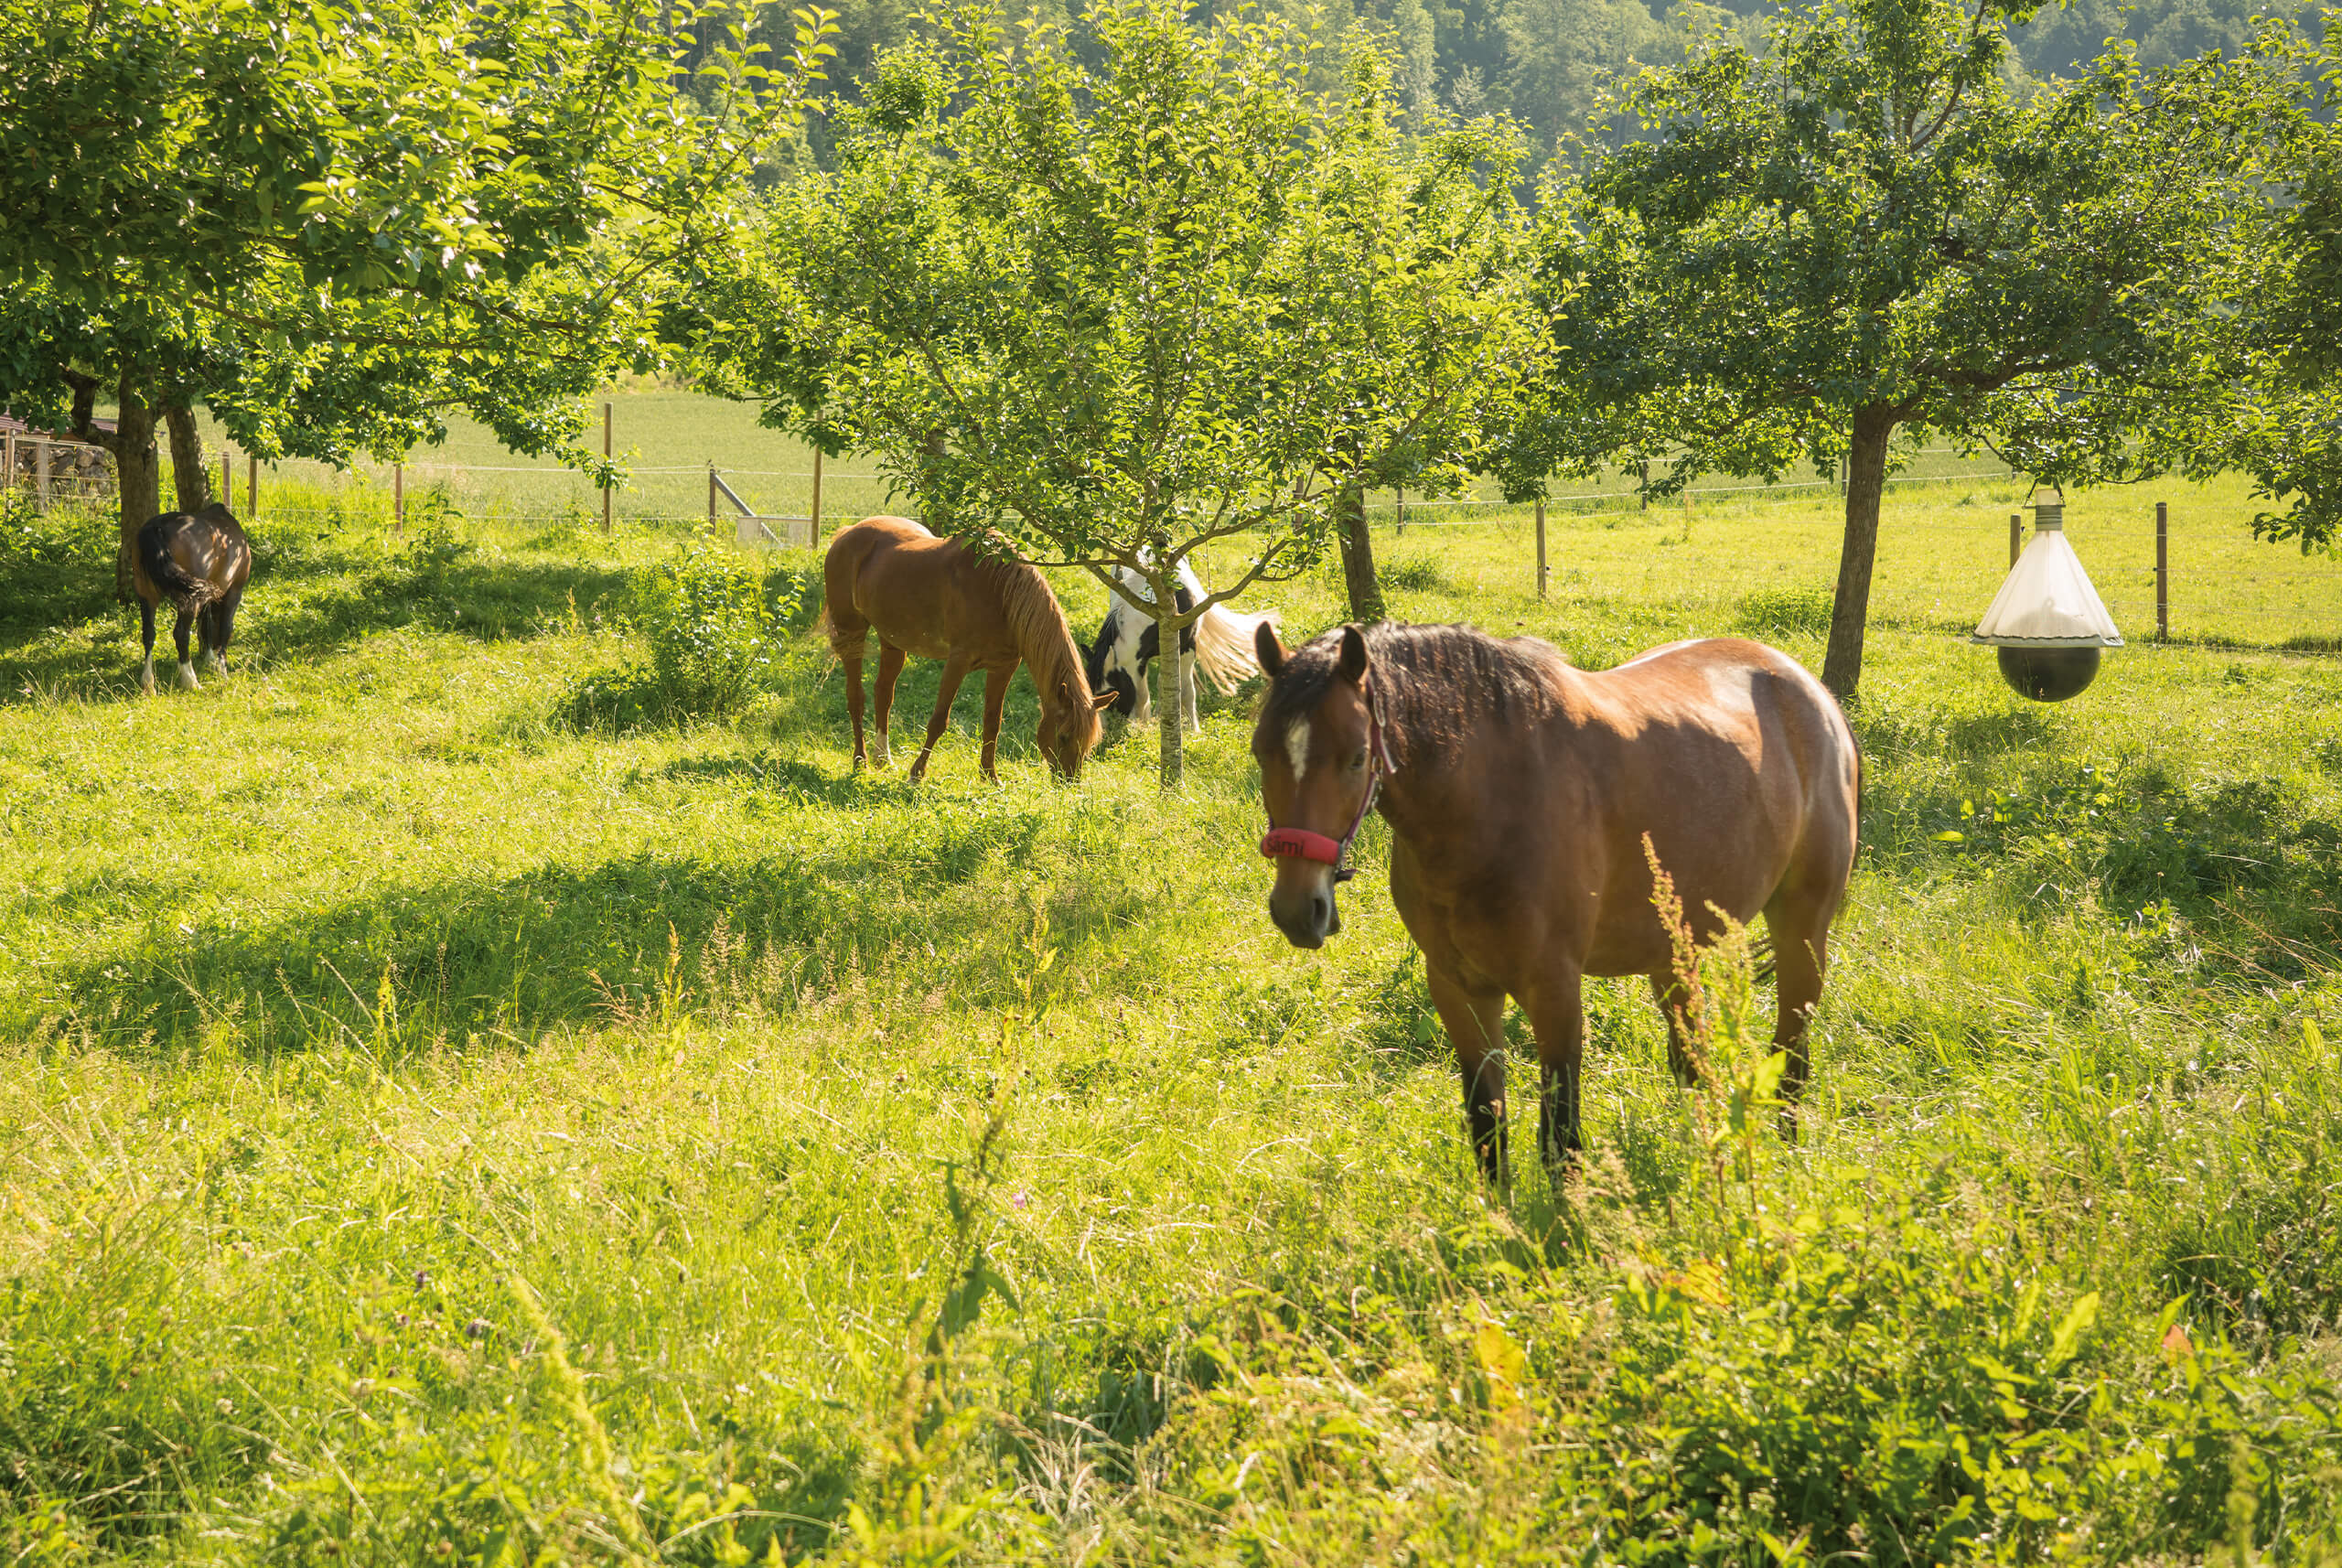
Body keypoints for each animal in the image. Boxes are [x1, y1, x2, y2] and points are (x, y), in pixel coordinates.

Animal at [134, 508, 252, 697]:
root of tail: (156, 527)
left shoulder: (207, 596)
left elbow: (206, 626)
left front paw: (210, 659)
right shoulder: (234, 591)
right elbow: (225, 628)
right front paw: (221, 669)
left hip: (147, 597)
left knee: (149, 634)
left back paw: (148, 683)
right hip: (190, 601)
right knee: (181, 634)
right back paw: (191, 681)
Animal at [824, 519, 1114, 781]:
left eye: (1090, 742)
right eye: (1063, 736)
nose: (1069, 780)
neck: (1000, 592)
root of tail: (846, 532)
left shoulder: (1003, 667)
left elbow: (992, 722)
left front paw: (990, 776)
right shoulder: (958, 662)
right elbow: (939, 720)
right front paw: (917, 774)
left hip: (893, 641)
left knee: (884, 694)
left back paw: (883, 759)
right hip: (852, 634)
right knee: (856, 697)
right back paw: (860, 760)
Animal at [1081, 556, 1283, 735]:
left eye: (1111, 694)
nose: (1099, 734)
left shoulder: (1186, 649)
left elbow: (1185, 690)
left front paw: (1193, 729)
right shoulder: (1140, 661)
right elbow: (1144, 694)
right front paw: (1144, 723)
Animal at [1255, 622, 1854, 1184]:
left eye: (1358, 758)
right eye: (1261, 751)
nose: (1297, 909)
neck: (1490, 805)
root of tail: (1811, 692)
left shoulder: (1555, 991)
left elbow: (1561, 1140)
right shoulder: (1457, 989)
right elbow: (1487, 1128)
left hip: (1801, 932)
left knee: (1792, 1053)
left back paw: (1786, 1159)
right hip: (1672, 953)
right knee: (1692, 1060)